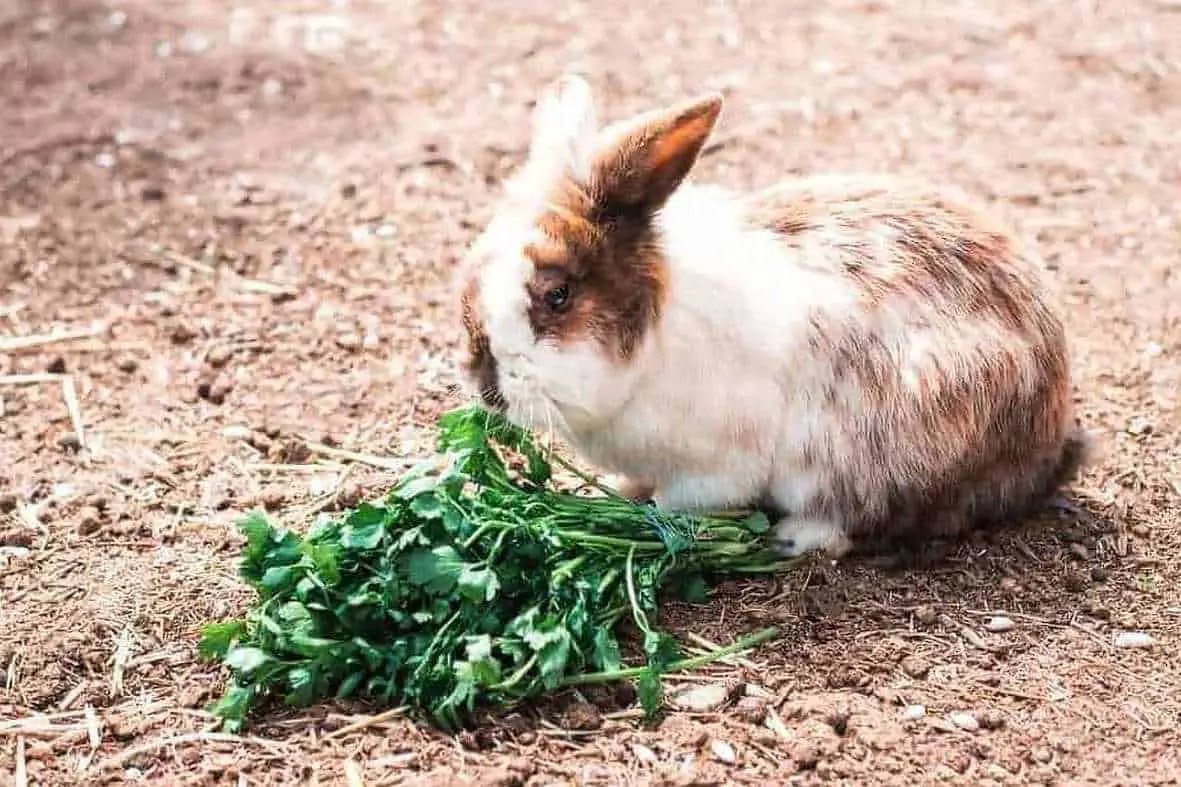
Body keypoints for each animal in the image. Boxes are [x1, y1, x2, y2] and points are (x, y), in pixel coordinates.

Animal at [451, 72, 1086, 550]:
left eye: (557, 295)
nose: (483, 378)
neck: (650, 343)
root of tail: (1049, 442)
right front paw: (614, 489)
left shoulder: (716, 469)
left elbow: (680, 499)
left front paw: (640, 516)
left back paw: (797, 537)